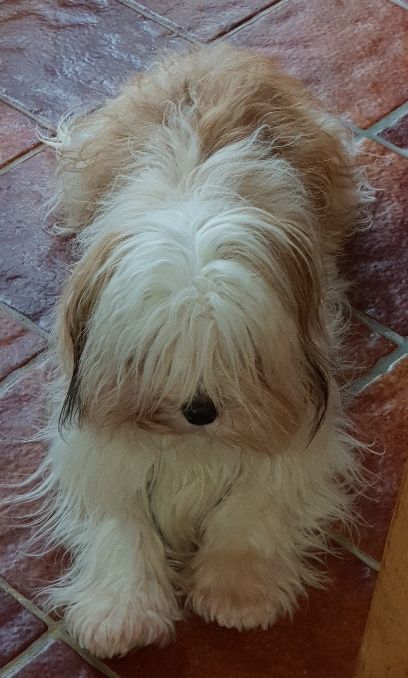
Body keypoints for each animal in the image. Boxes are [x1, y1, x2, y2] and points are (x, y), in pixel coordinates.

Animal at [24, 45, 367, 658]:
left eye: (238, 351)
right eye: (154, 352)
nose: (200, 410)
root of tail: (215, 53)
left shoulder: (304, 424)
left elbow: (254, 502)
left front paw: (238, 592)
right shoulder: (95, 440)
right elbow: (120, 517)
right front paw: (122, 612)